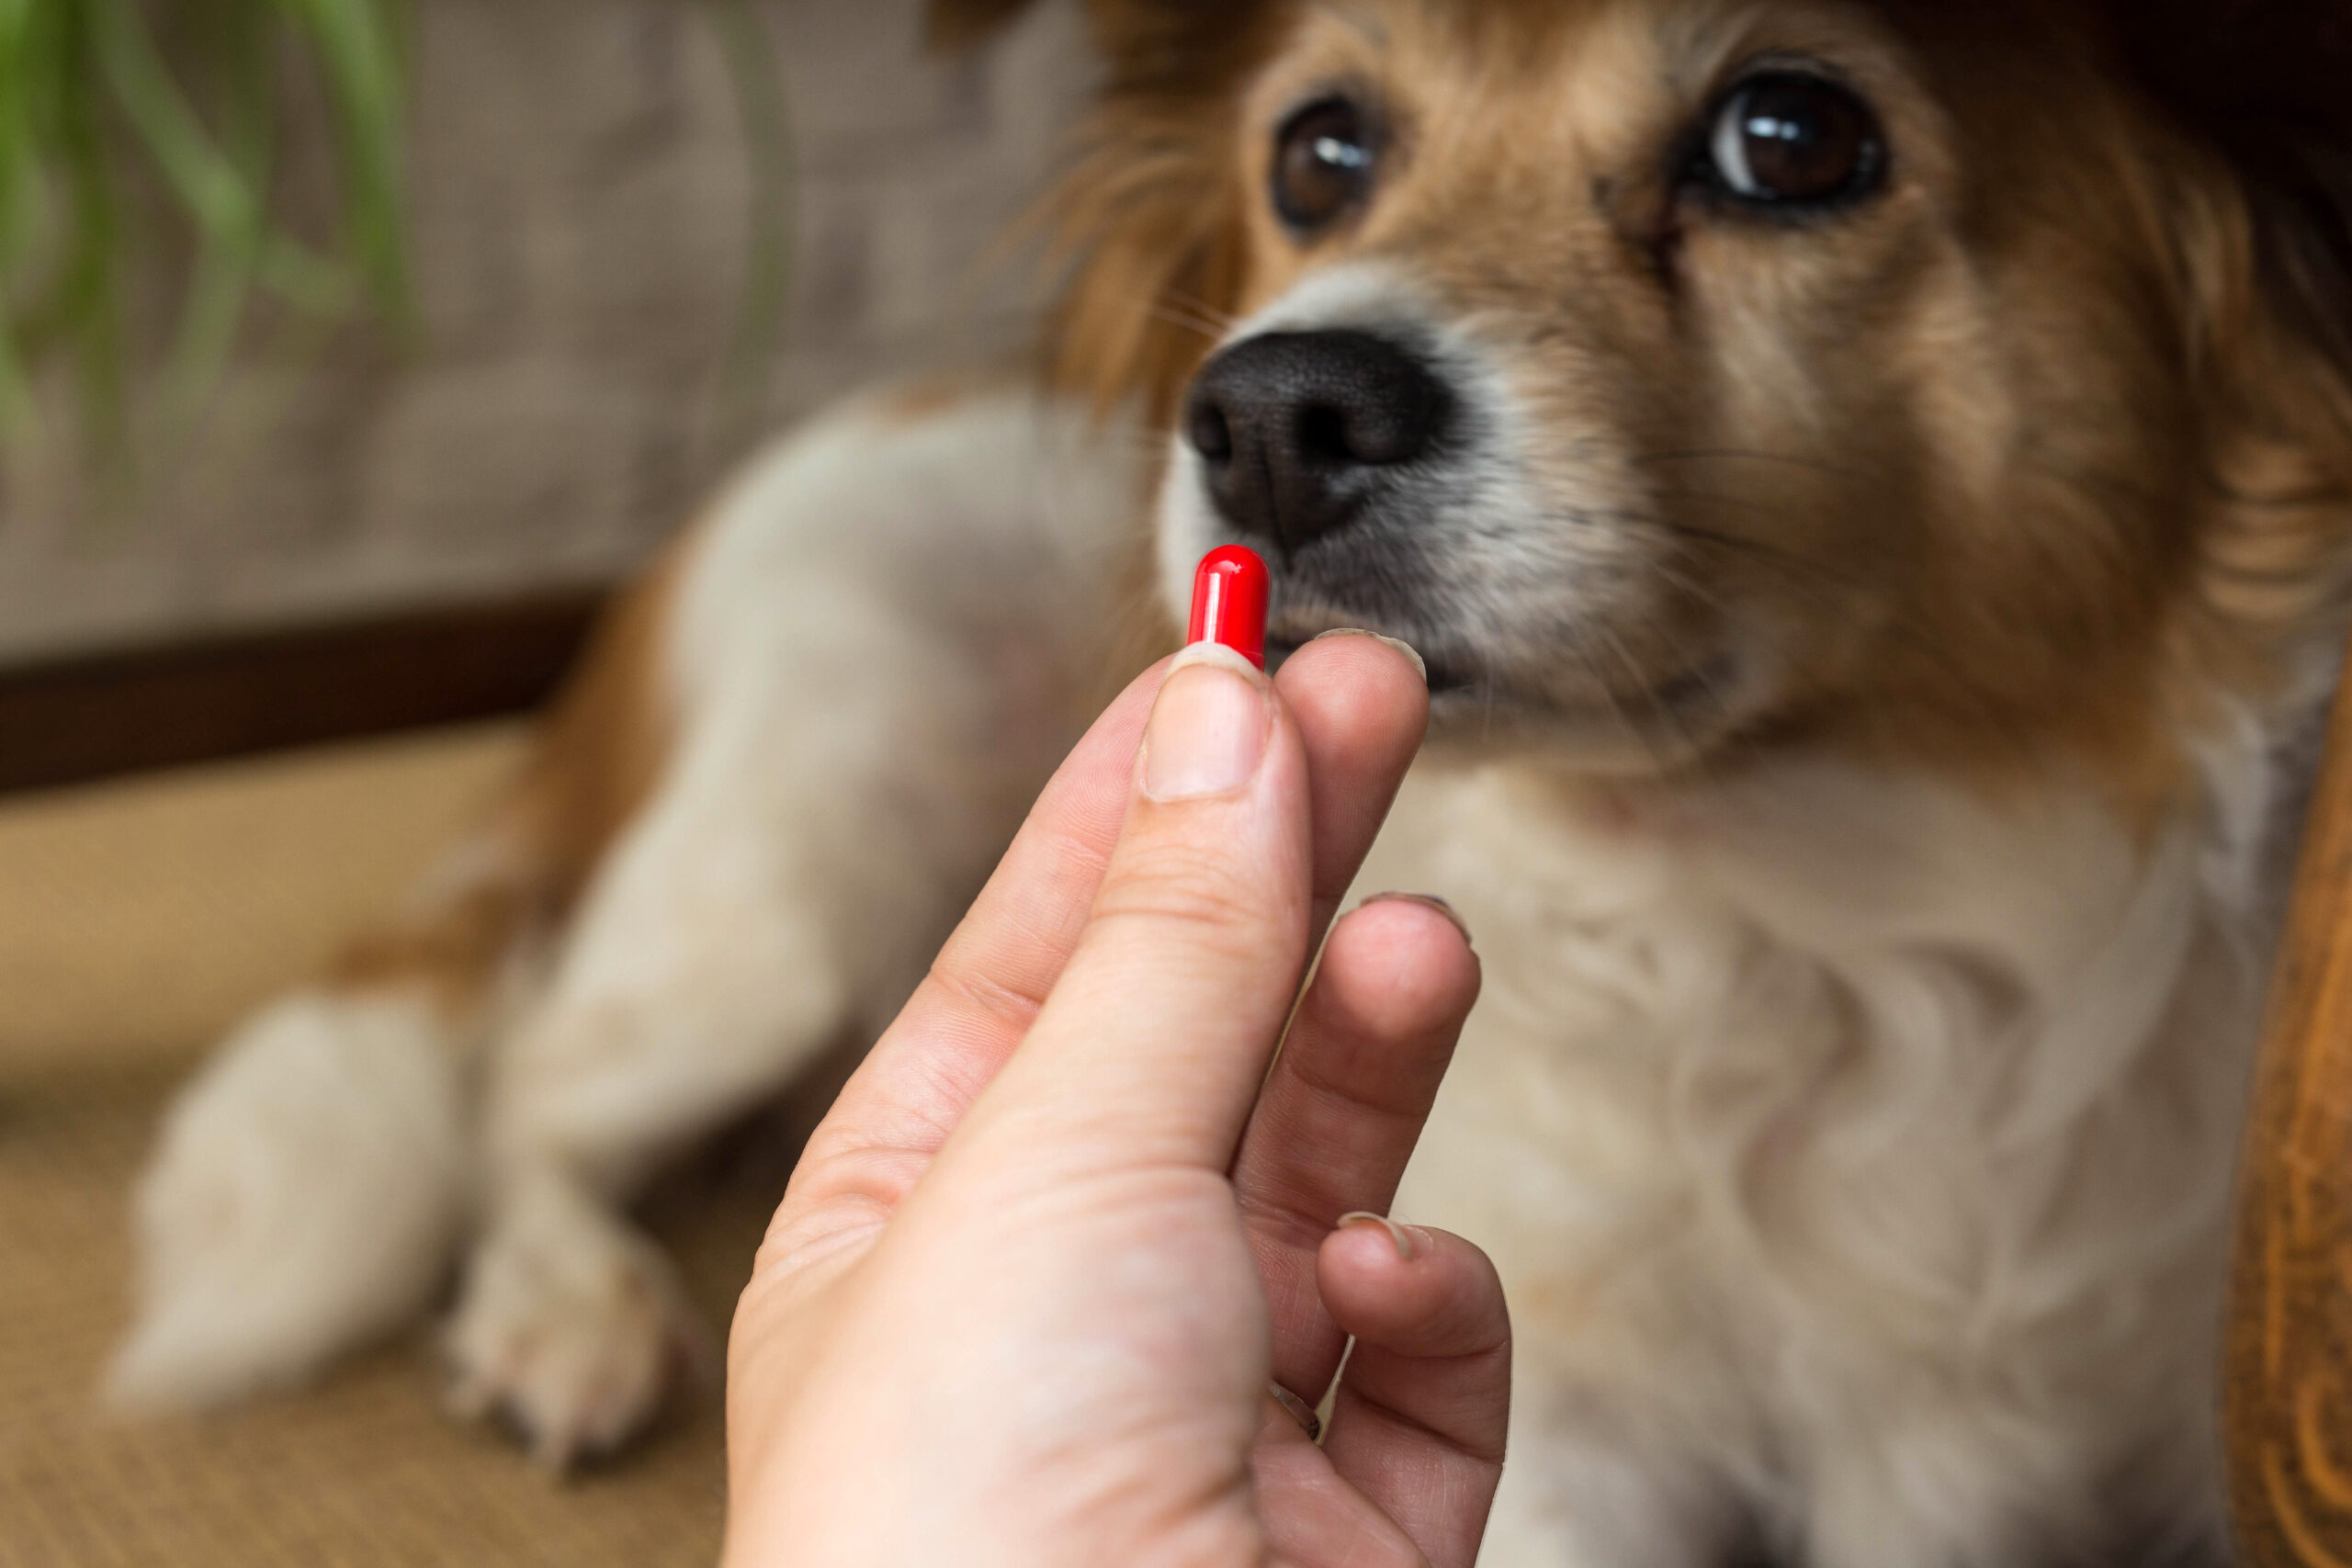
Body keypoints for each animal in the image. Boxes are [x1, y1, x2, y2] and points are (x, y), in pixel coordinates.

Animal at [101, 0, 2352, 1561]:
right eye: (1321, 148)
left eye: (1790, 136)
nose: (1269, 409)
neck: (1804, 911)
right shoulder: (1579, 1442)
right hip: (800, 867)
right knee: (530, 1083)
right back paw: (566, 1305)